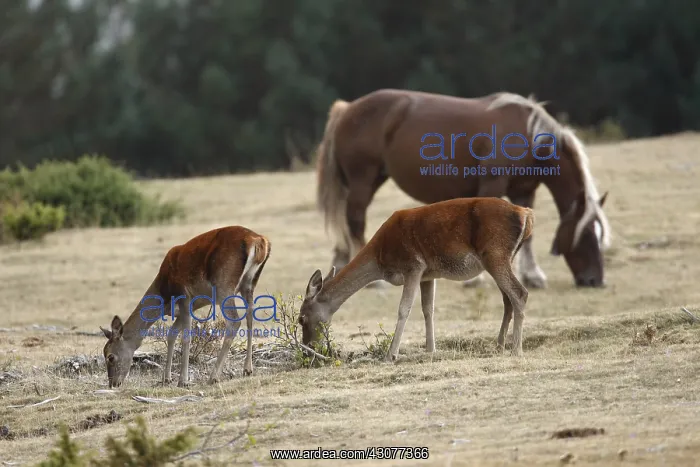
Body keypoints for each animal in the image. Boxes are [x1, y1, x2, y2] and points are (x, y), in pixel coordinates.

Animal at [314, 89, 611, 288]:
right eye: (587, 234)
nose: (595, 280)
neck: (527, 135)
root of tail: (347, 109)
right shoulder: (492, 185)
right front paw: (478, 278)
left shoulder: (524, 190)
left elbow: (527, 234)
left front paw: (533, 275)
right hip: (362, 181)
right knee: (355, 222)